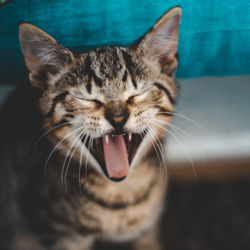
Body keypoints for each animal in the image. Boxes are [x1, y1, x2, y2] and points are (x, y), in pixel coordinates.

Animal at [0, 6, 182, 249]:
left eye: (138, 94)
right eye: (87, 99)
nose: (118, 117)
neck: (121, 196)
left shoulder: (147, 230)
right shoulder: (60, 236)